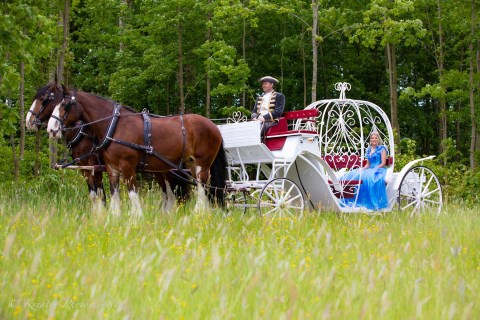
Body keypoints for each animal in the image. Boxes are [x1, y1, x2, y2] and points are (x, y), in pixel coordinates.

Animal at [48, 90, 227, 216]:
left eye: (64, 105)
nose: (51, 129)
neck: (114, 126)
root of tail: (214, 126)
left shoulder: (126, 166)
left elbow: (132, 194)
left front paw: (136, 218)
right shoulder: (111, 168)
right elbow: (113, 194)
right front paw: (113, 218)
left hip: (201, 165)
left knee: (202, 187)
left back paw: (198, 213)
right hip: (184, 166)